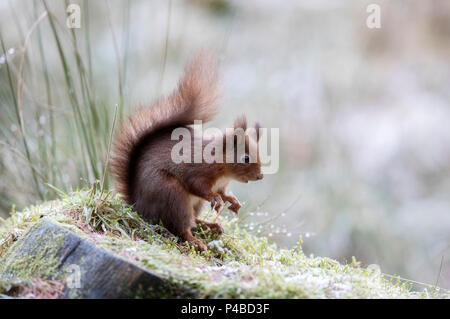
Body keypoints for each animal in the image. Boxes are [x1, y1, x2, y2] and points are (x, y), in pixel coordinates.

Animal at [110, 52, 264, 252]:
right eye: (245, 158)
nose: (260, 176)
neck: (222, 168)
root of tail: (138, 206)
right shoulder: (198, 169)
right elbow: (196, 185)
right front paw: (215, 198)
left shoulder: (220, 184)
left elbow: (223, 193)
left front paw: (233, 201)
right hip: (172, 195)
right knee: (180, 227)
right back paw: (196, 242)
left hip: (194, 204)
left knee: (193, 220)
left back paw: (211, 225)